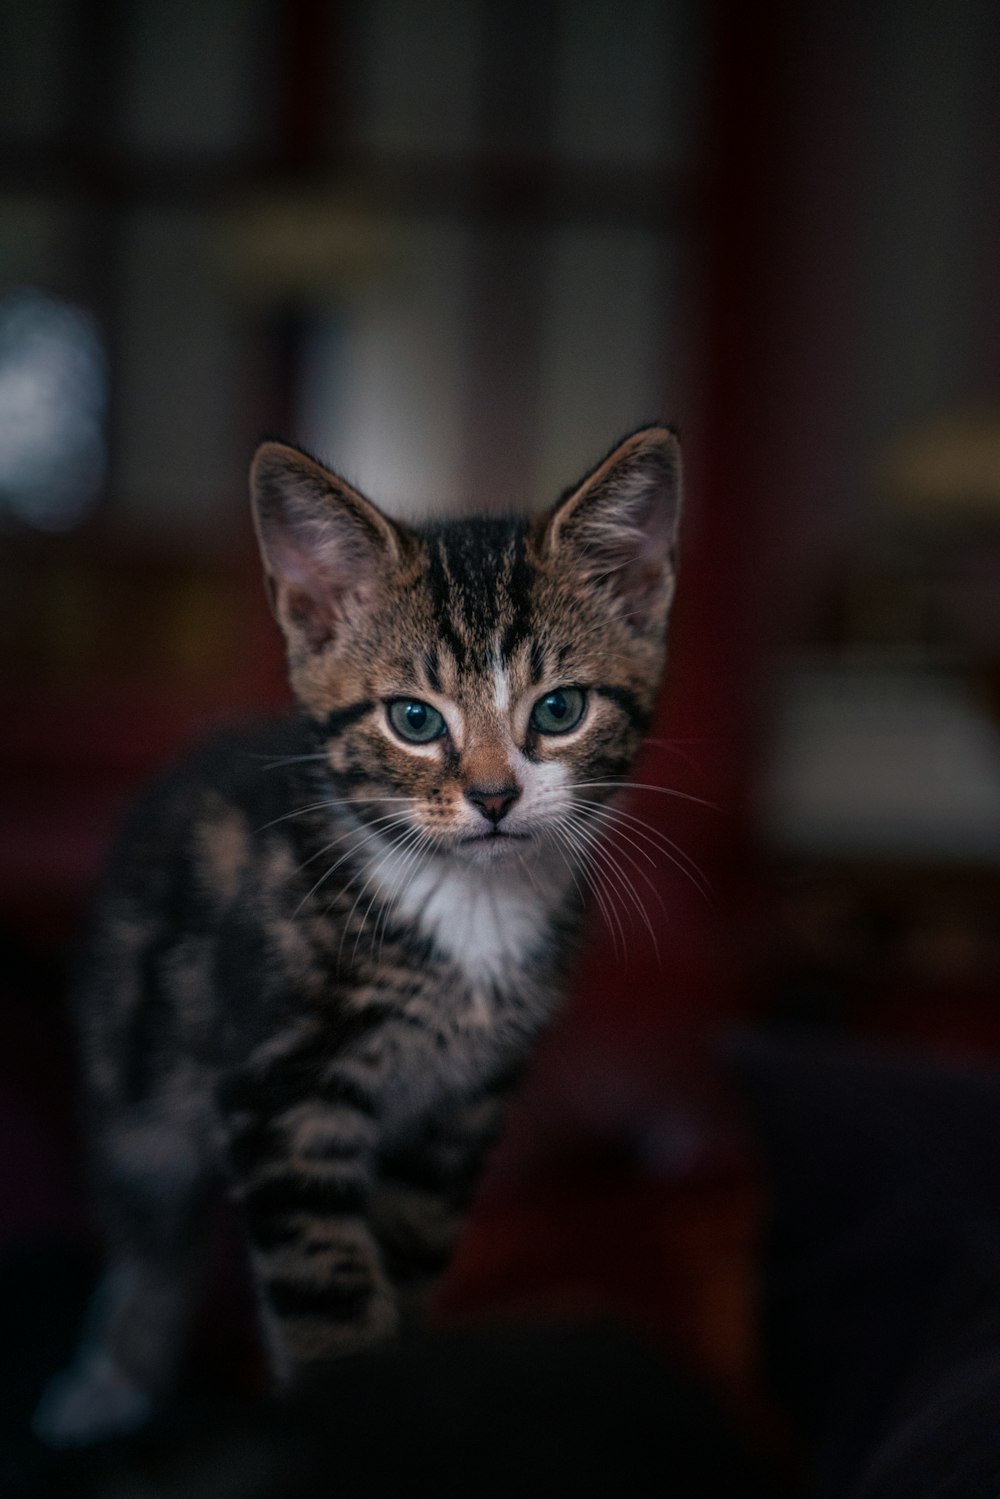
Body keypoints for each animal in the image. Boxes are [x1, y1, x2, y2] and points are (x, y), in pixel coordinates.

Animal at [35, 425, 683, 1451]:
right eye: (414, 719)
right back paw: (113, 1374)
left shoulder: (460, 1111)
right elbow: (323, 1284)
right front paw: (347, 1410)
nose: (494, 796)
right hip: (132, 1055)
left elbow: (408, 1251)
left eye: (558, 710)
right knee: (151, 1224)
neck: (465, 906)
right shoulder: (280, 1086)